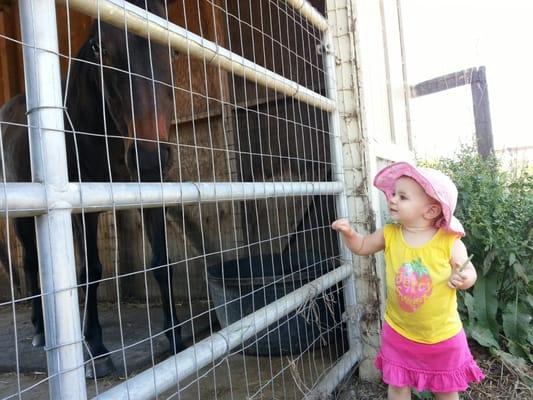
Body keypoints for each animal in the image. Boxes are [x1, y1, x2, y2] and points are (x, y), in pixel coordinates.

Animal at [1, 0, 182, 378]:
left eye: (173, 50)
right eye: (100, 48)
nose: (149, 157)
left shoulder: (152, 193)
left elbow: (161, 262)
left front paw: (175, 334)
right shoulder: (83, 210)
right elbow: (91, 272)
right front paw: (96, 349)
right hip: (23, 214)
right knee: (30, 263)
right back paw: (41, 330)